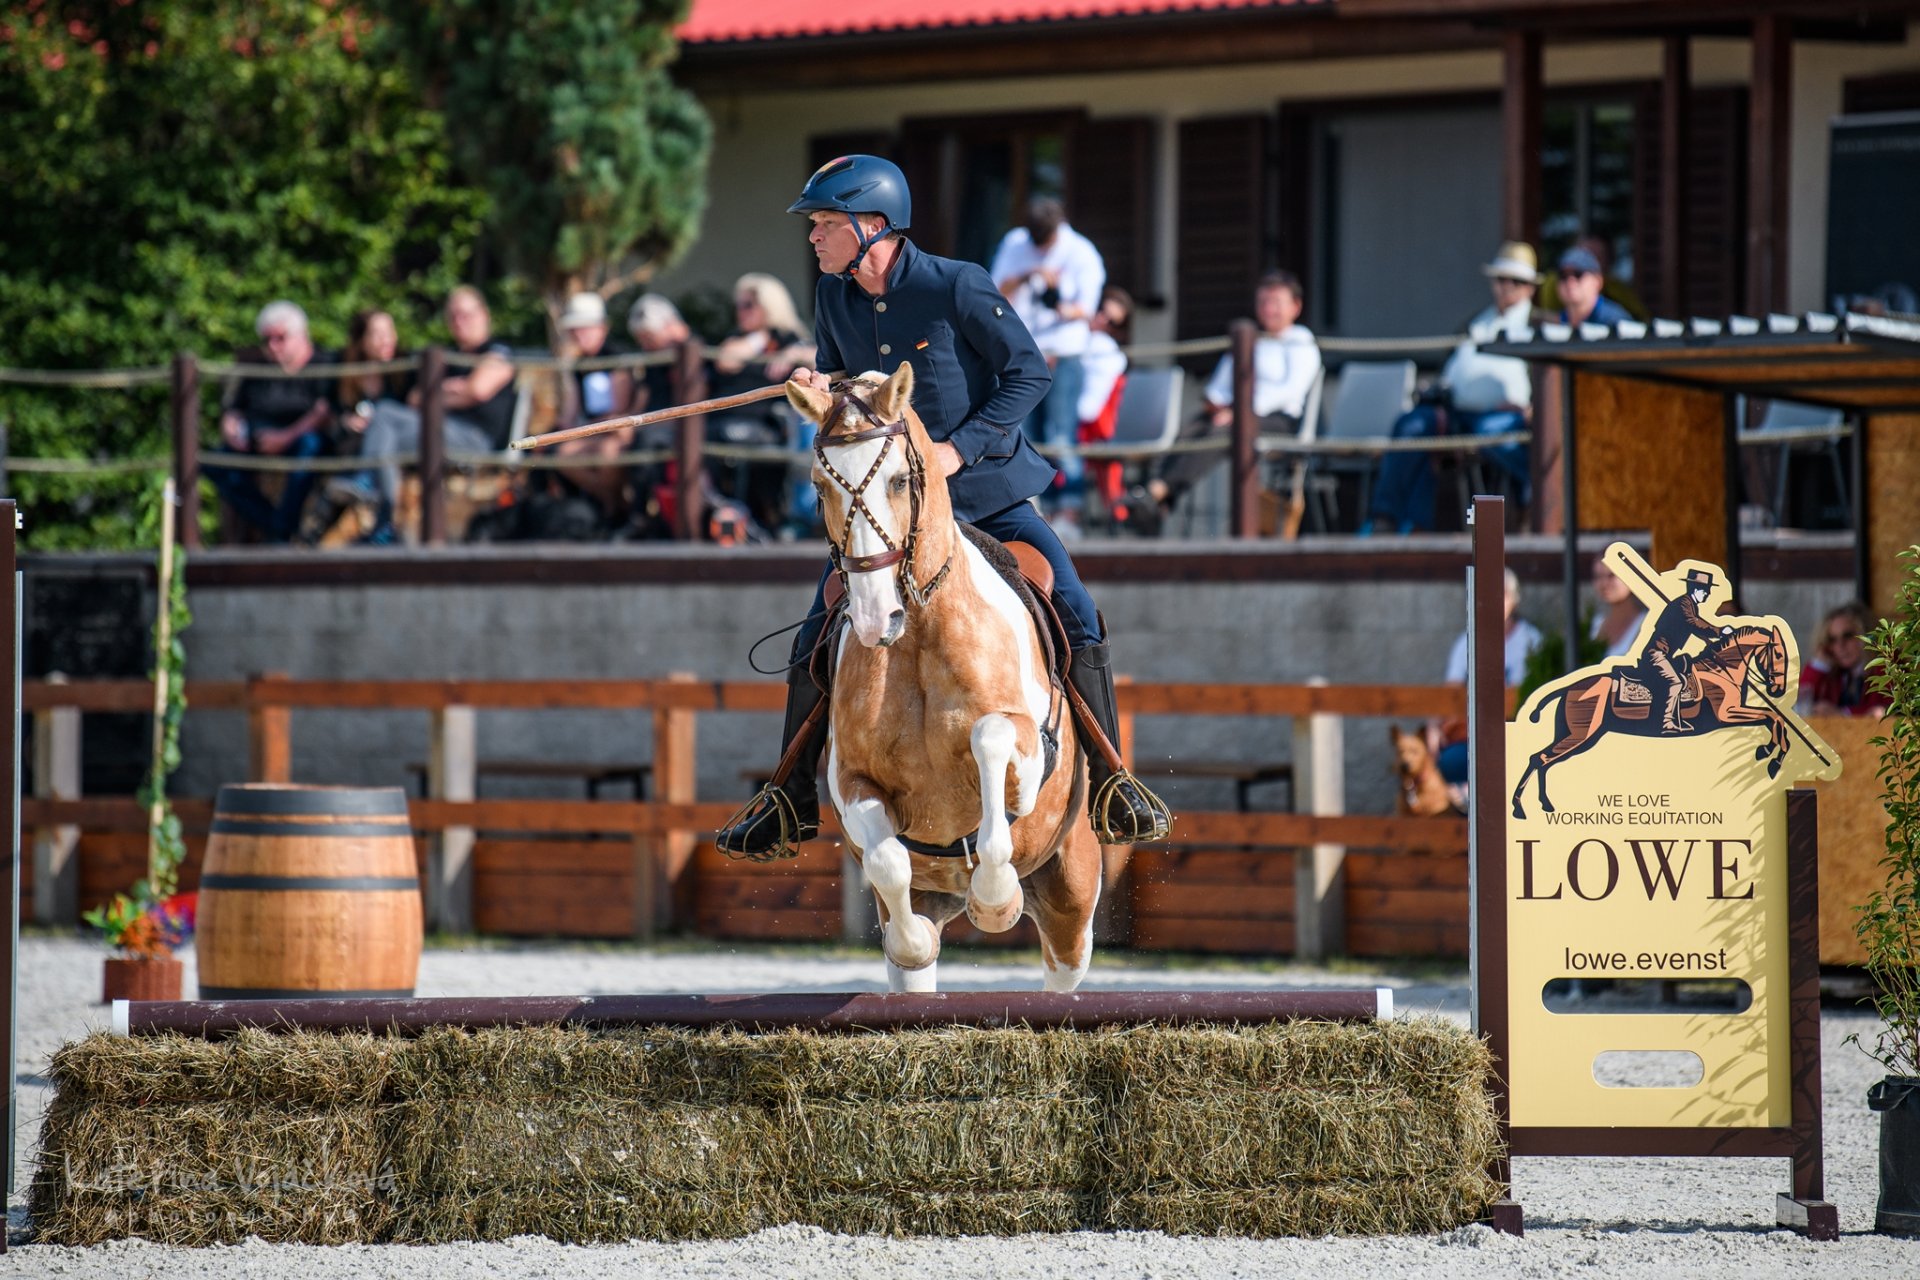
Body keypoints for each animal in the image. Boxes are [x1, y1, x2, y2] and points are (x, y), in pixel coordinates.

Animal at [791, 364, 1098, 997]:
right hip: (936, 901)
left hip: (1072, 904)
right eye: (819, 486)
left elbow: (991, 742)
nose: (875, 619)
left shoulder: (1026, 739)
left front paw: (995, 902)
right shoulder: (852, 779)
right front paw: (914, 943)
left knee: (1063, 972)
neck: (919, 635)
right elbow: (886, 863)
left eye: (900, 481)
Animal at [1505, 625, 1789, 825]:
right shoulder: (1725, 715)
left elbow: (1774, 719)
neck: (1720, 671)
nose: (1777, 689)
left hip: (1578, 737)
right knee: (1538, 759)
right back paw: (1520, 808)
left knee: (1544, 761)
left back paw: (1544, 805)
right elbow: (1772, 717)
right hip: (1581, 735)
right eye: (1777, 653)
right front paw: (1771, 758)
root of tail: (1568, 688)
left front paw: (1769, 754)